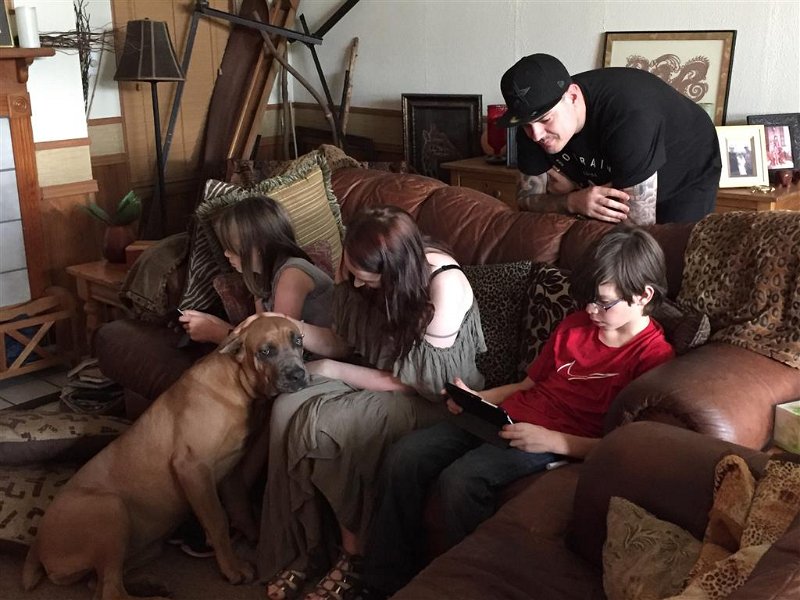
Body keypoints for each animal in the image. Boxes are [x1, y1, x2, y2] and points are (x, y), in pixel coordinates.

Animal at [23, 316, 307, 600]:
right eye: (265, 351)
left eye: (298, 341)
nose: (298, 375)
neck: (235, 382)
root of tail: (36, 547)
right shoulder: (193, 469)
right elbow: (218, 521)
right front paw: (232, 568)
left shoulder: (231, 470)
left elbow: (241, 507)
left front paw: (255, 536)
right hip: (112, 509)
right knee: (111, 591)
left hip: (141, 547)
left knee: (99, 584)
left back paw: (149, 584)